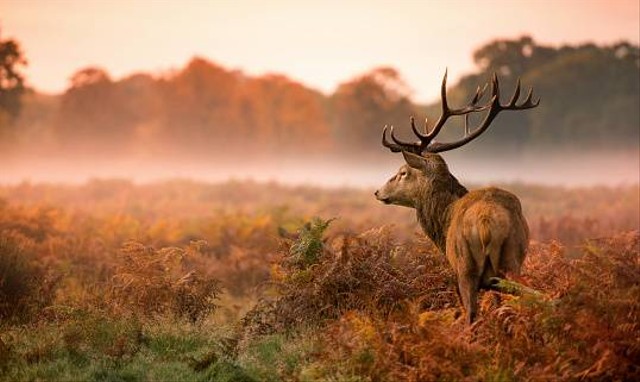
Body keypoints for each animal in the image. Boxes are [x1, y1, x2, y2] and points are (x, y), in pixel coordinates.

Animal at [376, 71, 540, 322]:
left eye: (403, 172)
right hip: (513, 257)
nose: (378, 192)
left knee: (472, 314)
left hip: (466, 266)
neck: (443, 219)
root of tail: (486, 222)